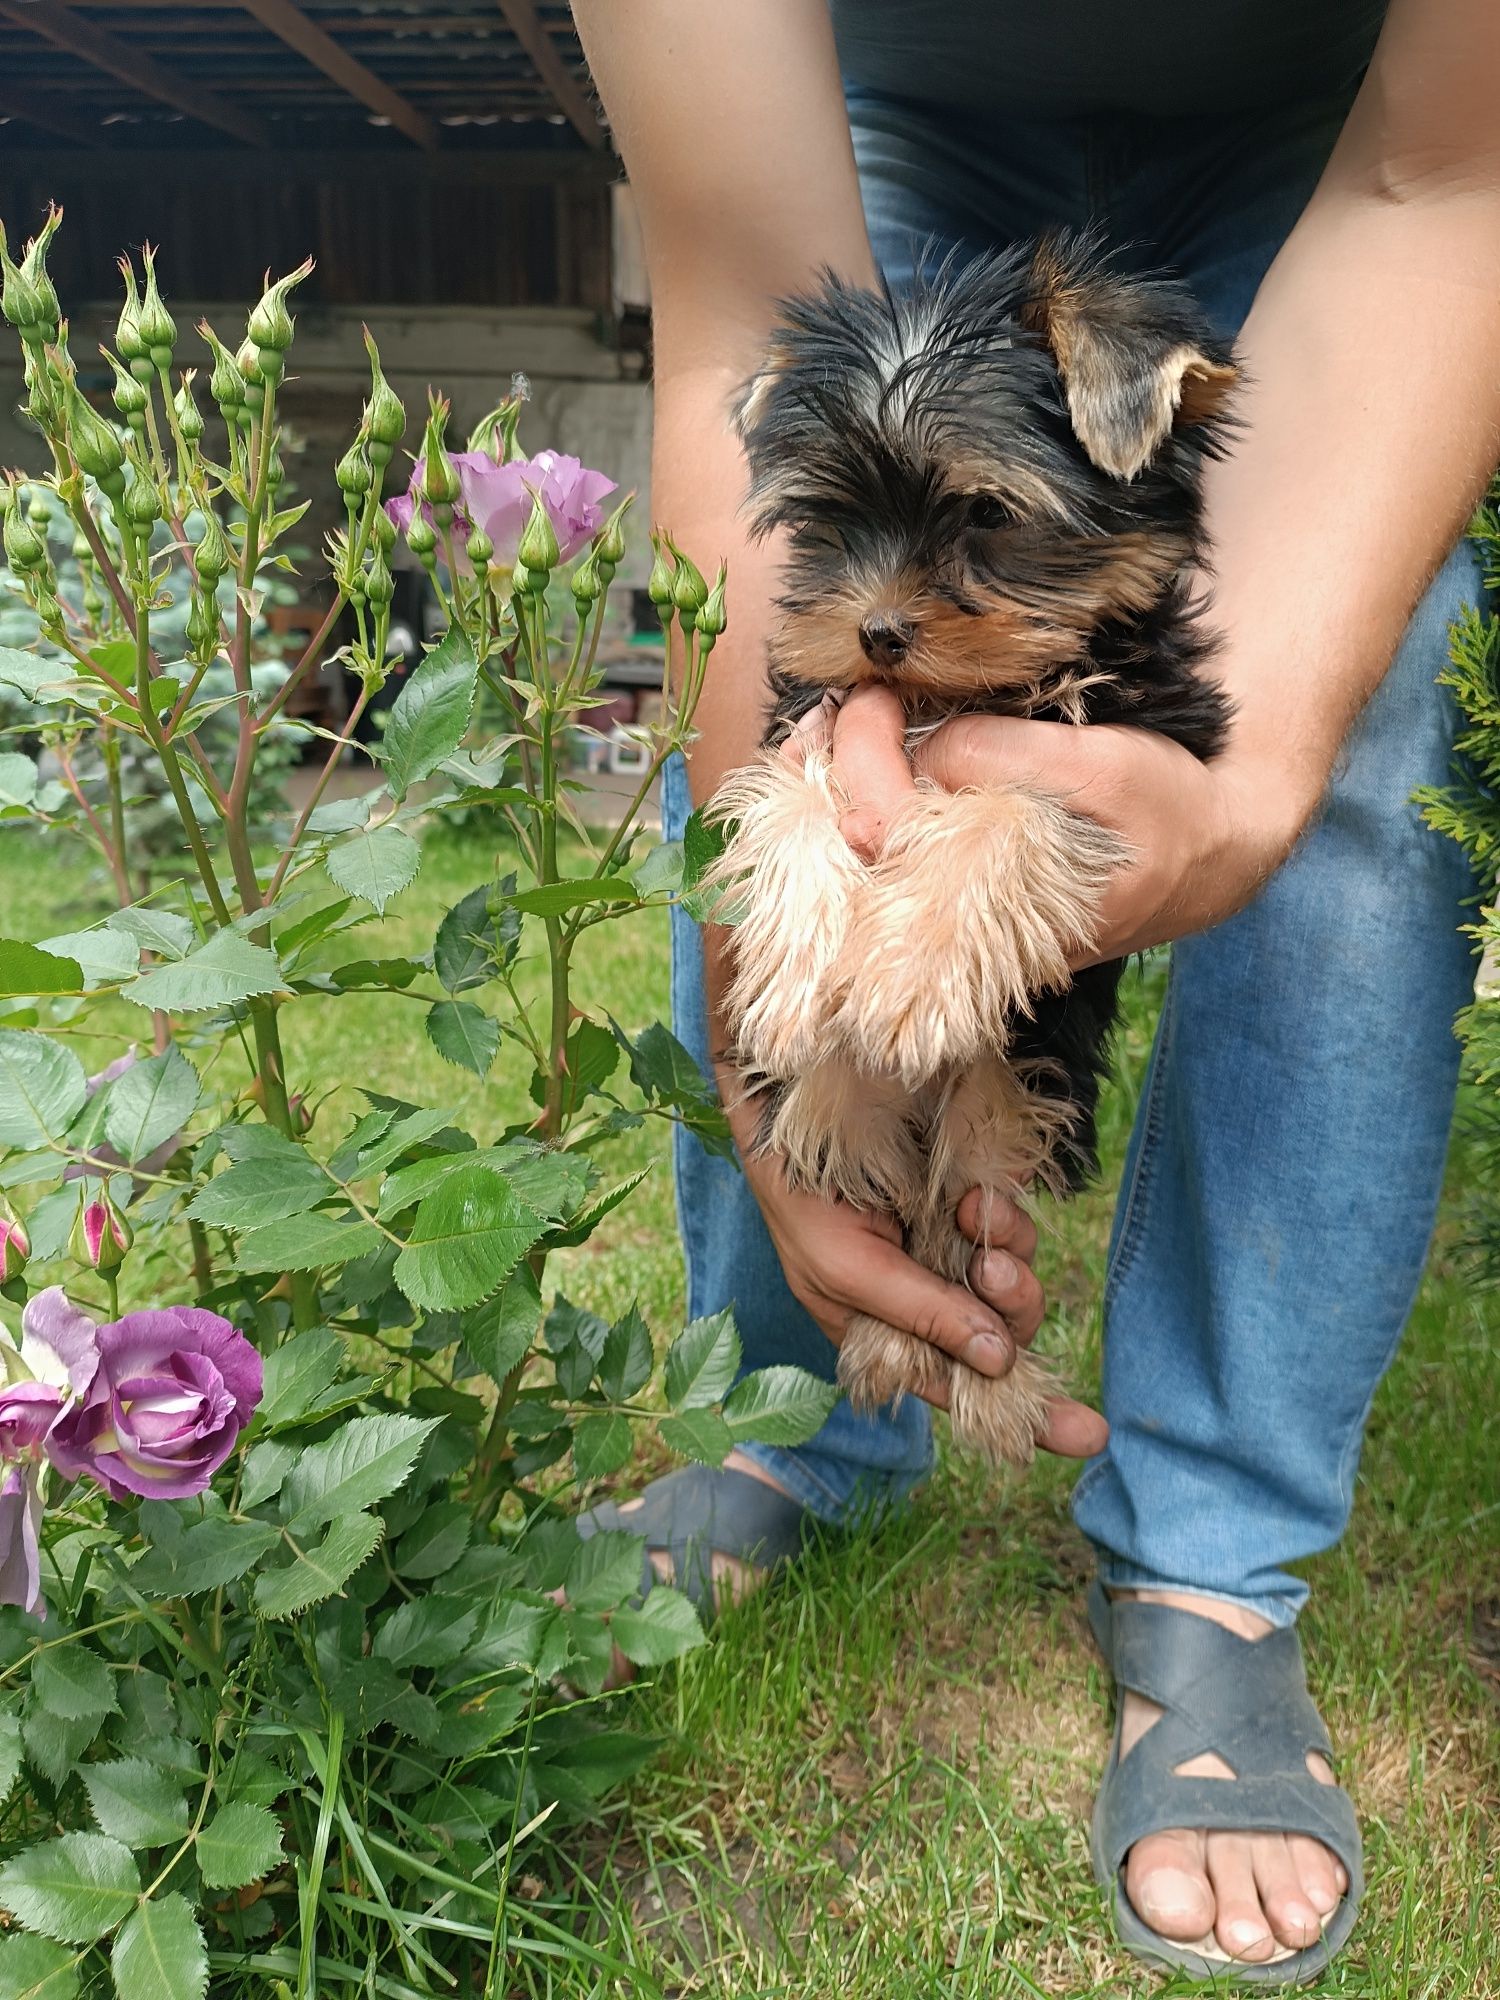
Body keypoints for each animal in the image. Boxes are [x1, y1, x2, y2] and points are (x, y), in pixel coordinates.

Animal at [704, 234, 1248, 1464]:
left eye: (989, 513)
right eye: (831, 521)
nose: (875, 629)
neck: (959, 691)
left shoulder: (1140, 751)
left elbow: (1018, 800)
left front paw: (911, 975)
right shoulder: (814, 713)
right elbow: (793, 794)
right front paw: (800, 965)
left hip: (1004, 1099)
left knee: (965, 1215)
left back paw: (989, 1376)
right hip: (846, 1109)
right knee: (862, 1162)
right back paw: (894, 1335)